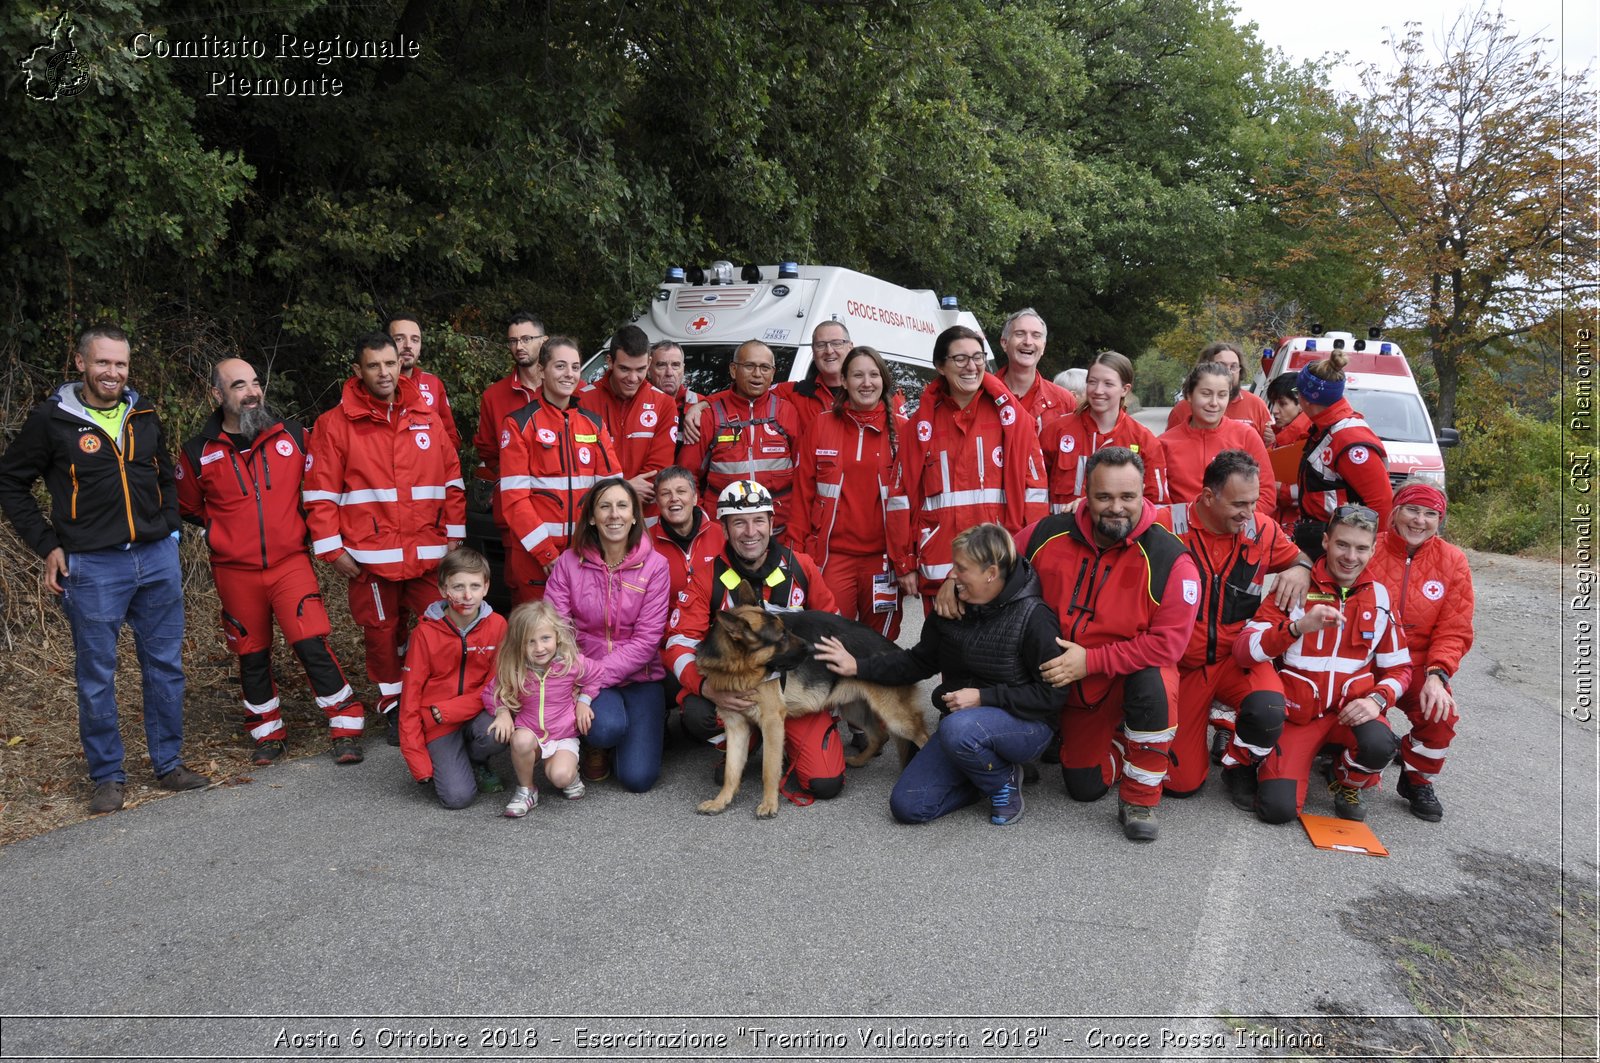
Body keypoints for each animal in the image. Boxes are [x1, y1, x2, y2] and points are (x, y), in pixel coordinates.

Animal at [694, 601, 934, 816]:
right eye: (782, 636)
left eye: (787, 631)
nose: (812, 648)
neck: (739, 668)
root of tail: (897, 651)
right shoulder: (736, 726)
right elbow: (731, 770)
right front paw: (721, 801)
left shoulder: (772, 722)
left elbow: (769, 769)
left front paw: (769, 804)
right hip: (853, 708)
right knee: (879, 735)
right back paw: (859, 760)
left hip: (896, 718)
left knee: (923, 737)